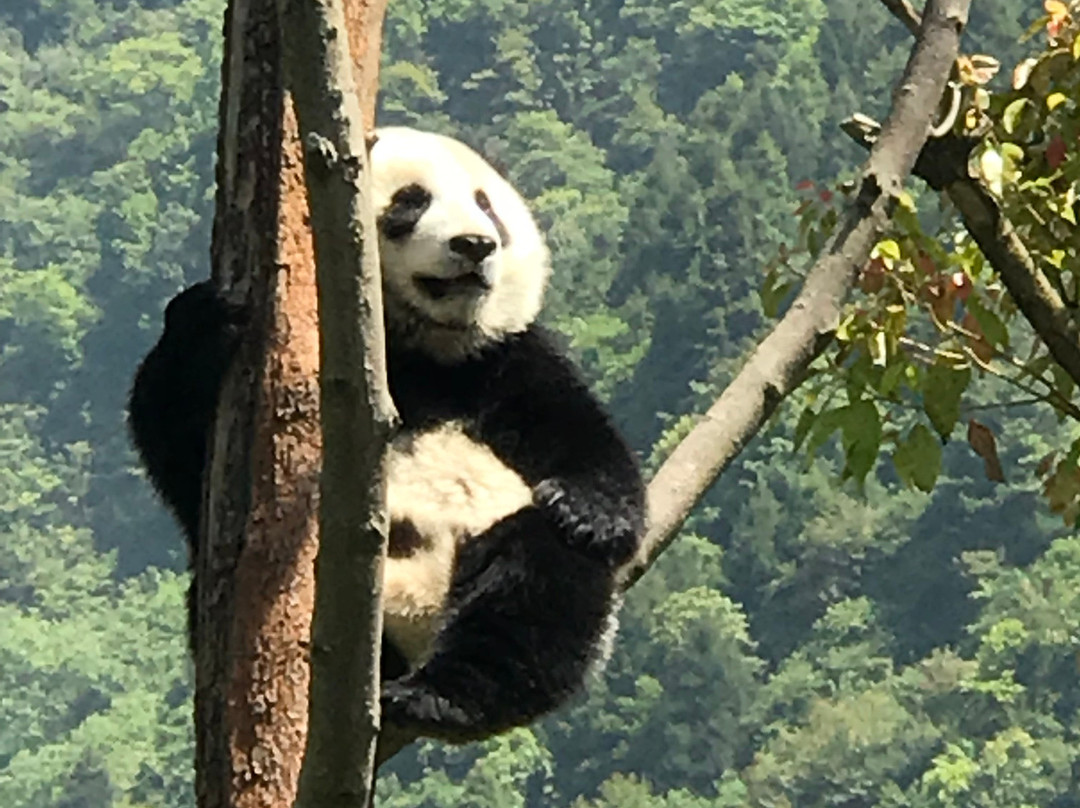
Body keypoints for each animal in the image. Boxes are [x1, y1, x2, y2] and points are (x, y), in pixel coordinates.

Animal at [129, 124, 643, 738]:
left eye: (486, 206)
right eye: (411, 202)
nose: (475, 244)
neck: (416, 348)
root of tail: (413, 615)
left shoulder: (504, 362)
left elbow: (578, 433)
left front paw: (592, 515)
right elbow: (180, 452)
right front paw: (204, 324)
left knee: (536, 590)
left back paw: (440, 696)